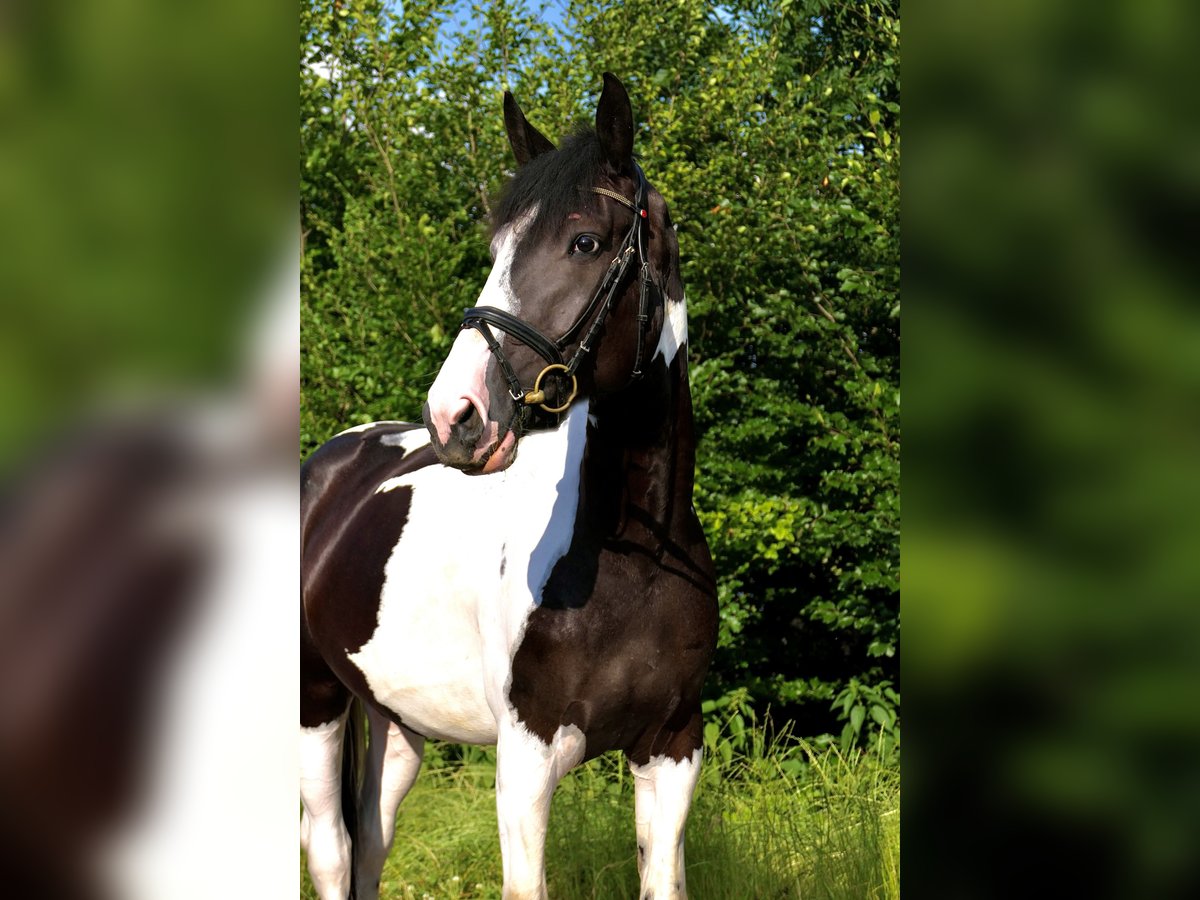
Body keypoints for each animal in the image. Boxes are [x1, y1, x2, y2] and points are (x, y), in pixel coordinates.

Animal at [300, 72, 715, 900]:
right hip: (315, 702)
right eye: (497, 249)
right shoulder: (525, 758)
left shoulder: (674, 748)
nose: (456, 414)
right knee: (330, 849)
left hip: (396, 722)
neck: (632, 564)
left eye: (584, 242)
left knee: (370, 848)